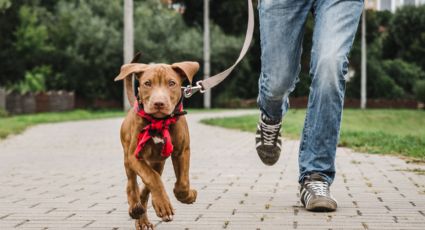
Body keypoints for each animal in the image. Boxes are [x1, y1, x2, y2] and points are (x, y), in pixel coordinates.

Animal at [113, 54, 198, 229]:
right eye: (147, 83)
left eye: (172, 83)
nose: (159, 103)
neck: (159, 121)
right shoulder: (134, 156)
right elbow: (152, 178)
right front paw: (163, 205)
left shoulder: (182, 151)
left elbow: (182, 182)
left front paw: (187, 196)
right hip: (128, 158)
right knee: (132, 185)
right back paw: (135, 208)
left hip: (158, 162)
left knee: (146, 188)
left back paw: (142, 215)